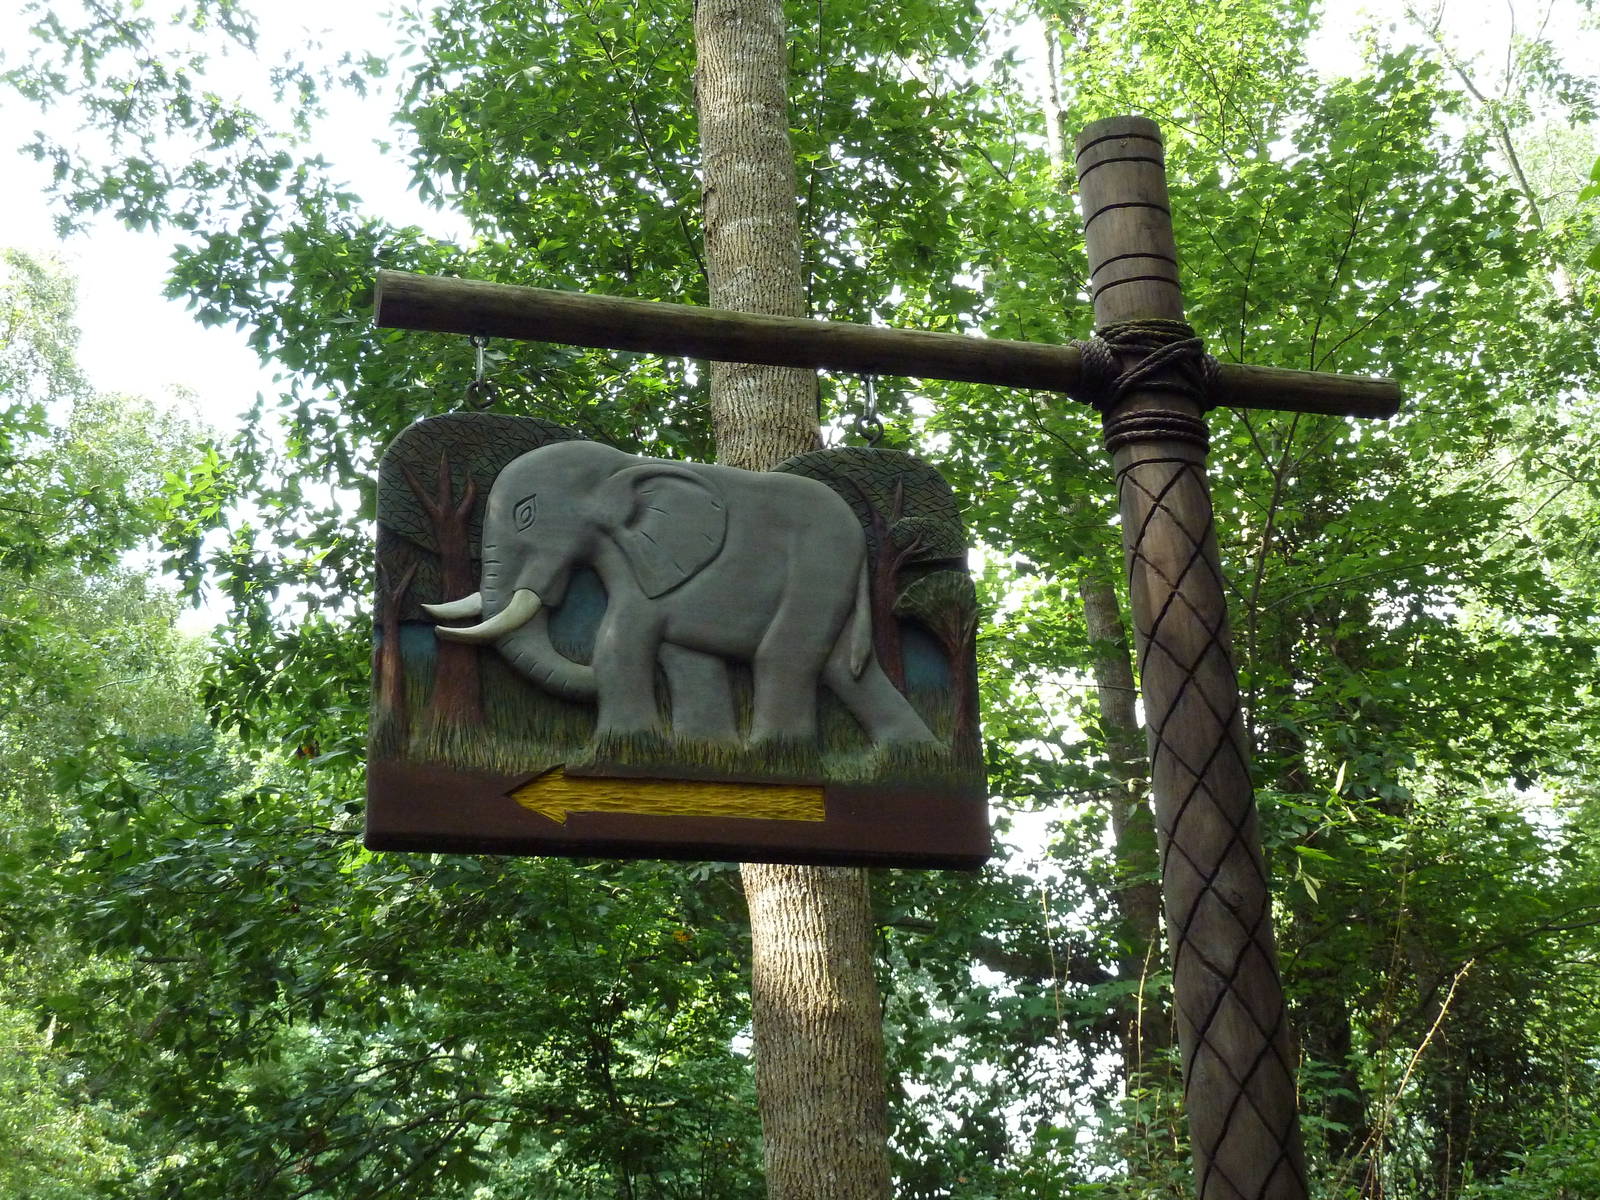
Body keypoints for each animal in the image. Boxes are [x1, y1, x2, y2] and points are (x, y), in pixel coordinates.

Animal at [421, 439, 938, 750]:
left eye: (525, 514)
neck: (621, 466)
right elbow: (683, 656)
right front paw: (703, 750)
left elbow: (619, 641)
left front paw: (625, 745)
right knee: (845, 670)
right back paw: (914, 751)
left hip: (819, 568)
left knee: (784, 656)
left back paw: (775, 753)